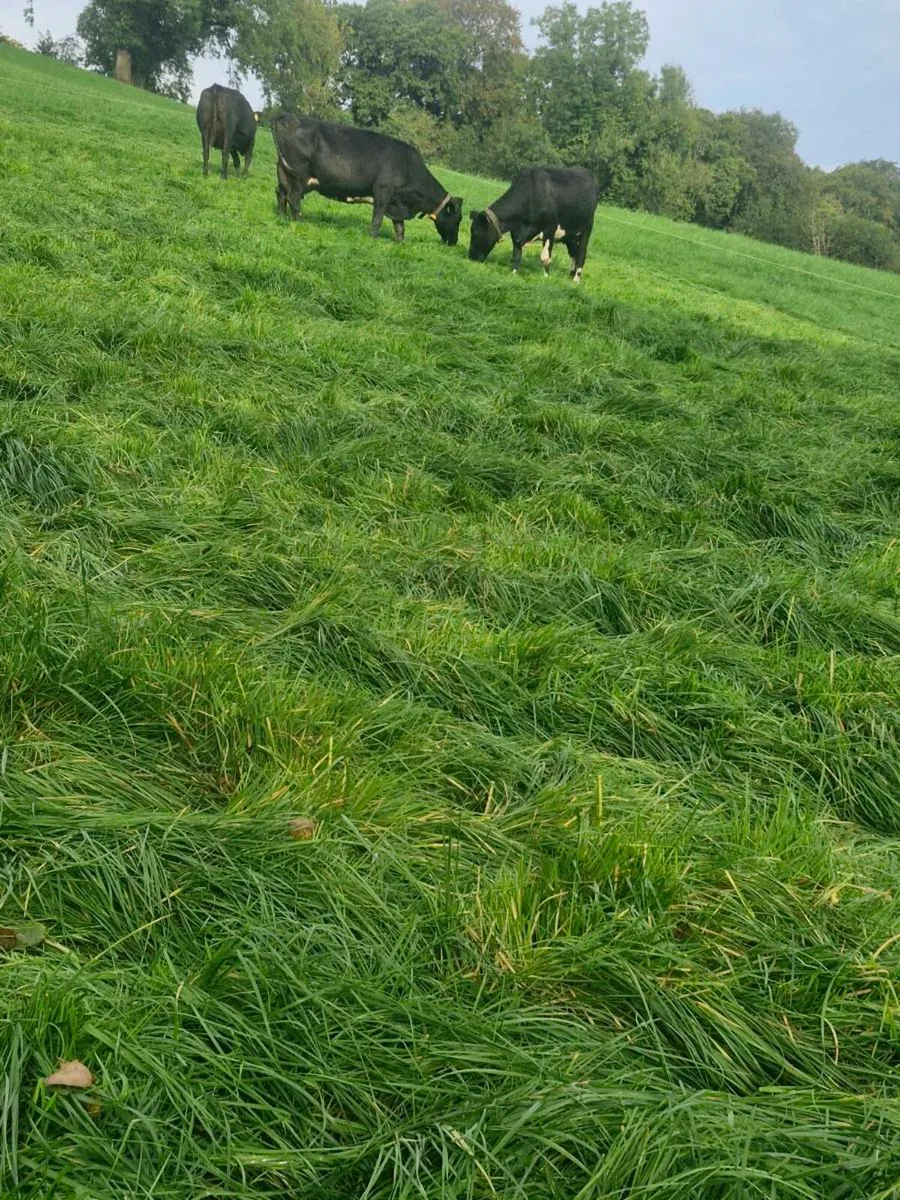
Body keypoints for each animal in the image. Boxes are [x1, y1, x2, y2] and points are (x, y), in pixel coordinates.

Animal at [271, 115, 463, 245]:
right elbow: (377, 219)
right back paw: (299, 221)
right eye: (458, 219)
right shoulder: (383, 191)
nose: (453, 243)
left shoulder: (397, 202)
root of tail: (285, 116)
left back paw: (282, 217)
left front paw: (400, 244)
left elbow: (399, 226)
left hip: (285, 171)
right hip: (298, 173)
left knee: (281, 193)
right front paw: (373, 239)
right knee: (293, 198)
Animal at [468, 167, 598, 283]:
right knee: (573, 253)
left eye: (475, 232)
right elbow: (516, 255)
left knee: (581, 253)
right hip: (570, 235)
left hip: (587, 228)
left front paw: (546, 277)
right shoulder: (516, 231)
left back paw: (576, 279)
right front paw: (513, 274)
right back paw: (571, 274)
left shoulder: (550, 229)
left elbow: (545, 258)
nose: (471, 257)